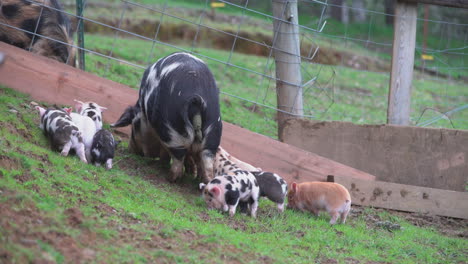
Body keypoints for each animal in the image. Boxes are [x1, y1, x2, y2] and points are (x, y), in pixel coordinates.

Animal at [113, 51, 223, 184]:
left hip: (173, 130)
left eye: (134, 126)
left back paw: (170, 178)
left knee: (178, 158)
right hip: (213, 131)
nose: (131, 149)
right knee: (207, 161)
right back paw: (203, 181)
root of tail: (197, 97)